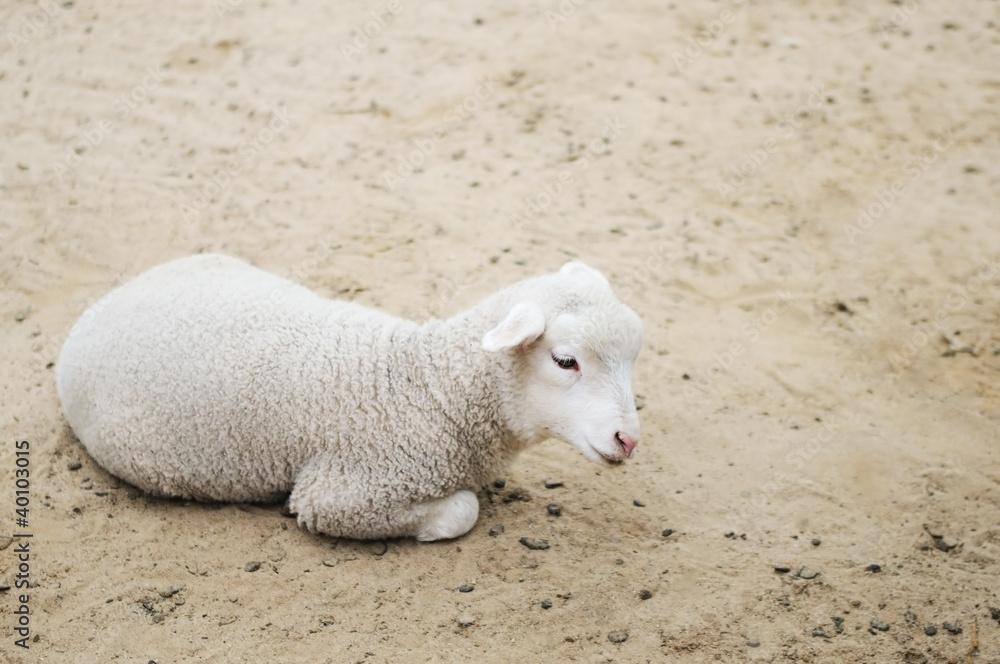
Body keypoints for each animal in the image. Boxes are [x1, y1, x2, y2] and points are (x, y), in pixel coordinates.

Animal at [56, 254, 643, 541]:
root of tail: (106, 301)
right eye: (565, 361)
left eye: (634, 354)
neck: (428, 383)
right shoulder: (340, 496)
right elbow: (463, 511)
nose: (629, 440)